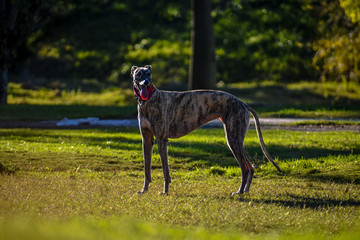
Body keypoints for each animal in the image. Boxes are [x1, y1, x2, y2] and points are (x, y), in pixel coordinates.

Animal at [131, 65, 282, 195]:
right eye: (138, 74)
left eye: (148, 74)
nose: (146, 82)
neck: (149, 100)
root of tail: (243, 103)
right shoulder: (147, 139)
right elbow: (147, 169)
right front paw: (144, 190)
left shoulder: (162, 139)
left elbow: (165, 170)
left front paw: (165, 191)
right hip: (236, 140)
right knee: (250, 167)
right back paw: (245, 191)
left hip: (233, 139)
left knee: (245, 168)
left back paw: (239, 192)